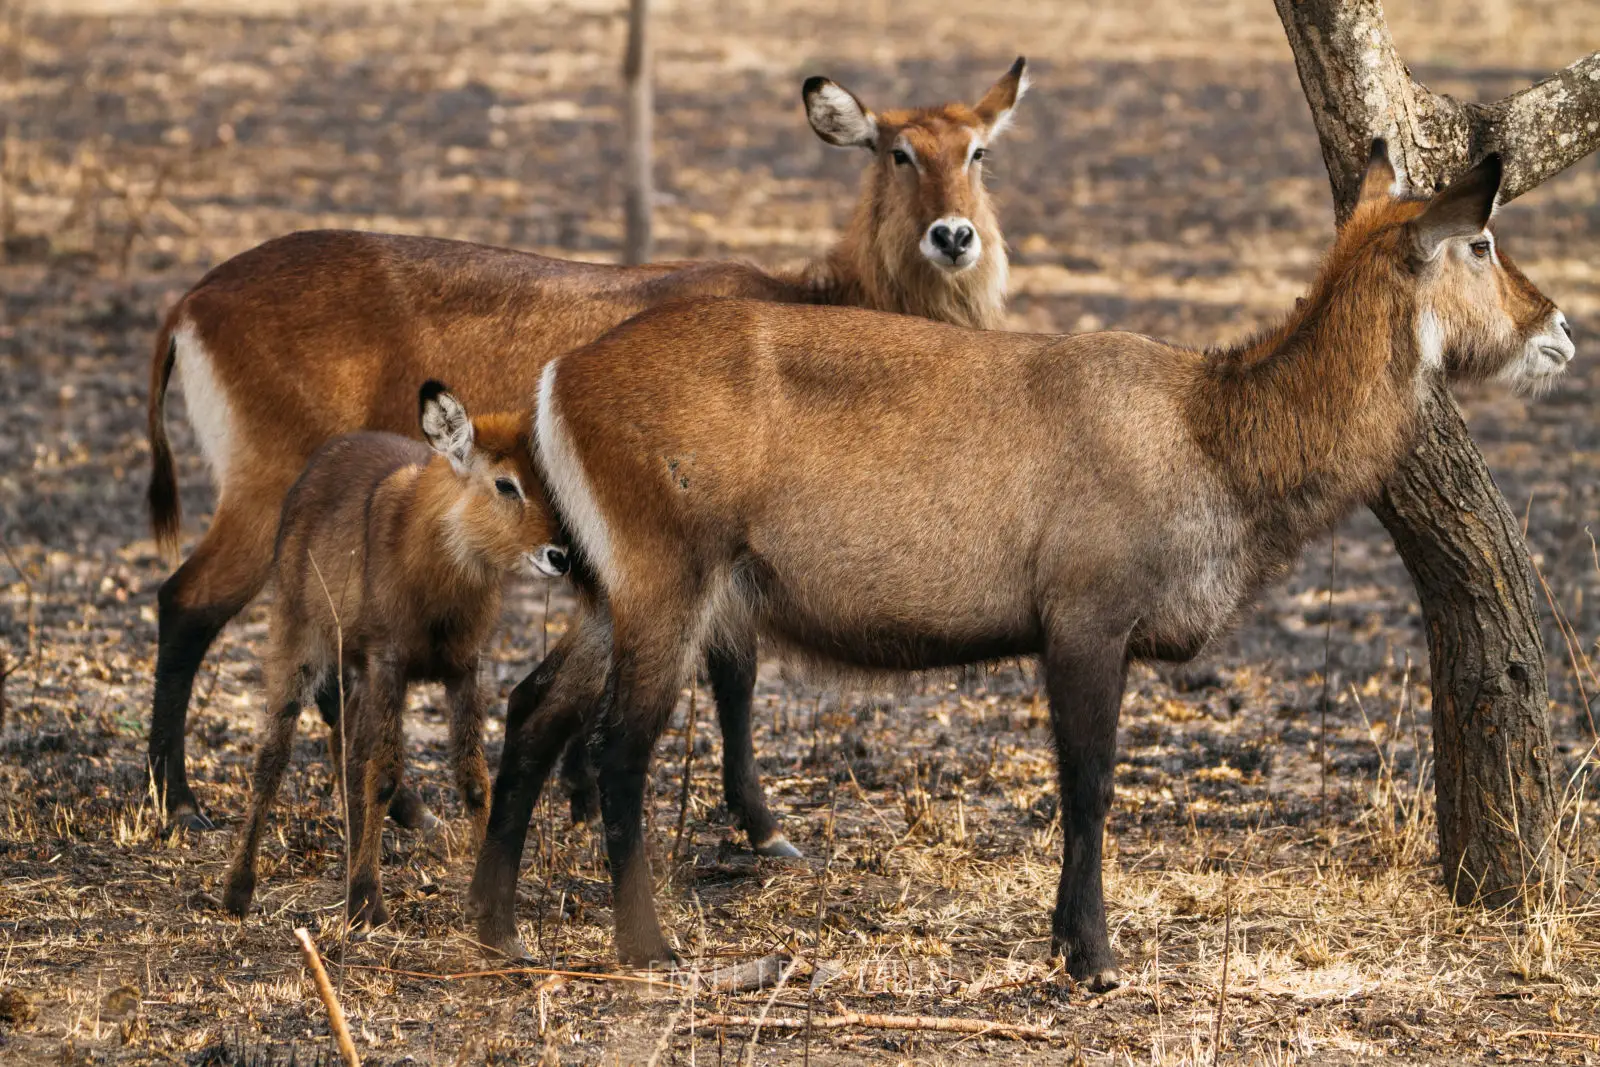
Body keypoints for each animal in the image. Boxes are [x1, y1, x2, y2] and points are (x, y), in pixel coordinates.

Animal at [145, 60, 1029, 837]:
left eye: (978, 152)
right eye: (897, 151)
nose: (954, 237)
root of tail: (193, 297)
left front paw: (579, 797)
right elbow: (734, 677)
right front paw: (757, 823)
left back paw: (402, 809)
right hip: (265, 490)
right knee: (185, 603)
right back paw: (179, 801)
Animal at [222, 383, 569, 925]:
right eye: (505, 484)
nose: (560, 555)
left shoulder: (465, 669)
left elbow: (473, 779)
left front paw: (487, 902)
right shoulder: (389, 663)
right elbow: (383, 774)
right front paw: (369, 899)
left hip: (356, 670)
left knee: (345, 749)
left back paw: (347, 867)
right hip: (299, 643)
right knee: (273, 757)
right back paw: (239, 889)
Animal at [466, 144, 1573, 986]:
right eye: (1480, 240)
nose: (1558, 324)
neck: (1211, 432)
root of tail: (558, 381)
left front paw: (1068, 941)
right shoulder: (1085, 618)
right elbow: (1088, 784)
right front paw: (1091, 954)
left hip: (612, 592)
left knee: (532, 708)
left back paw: (494, 923)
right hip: (670, 582)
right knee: (617, 744)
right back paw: (644, 943)